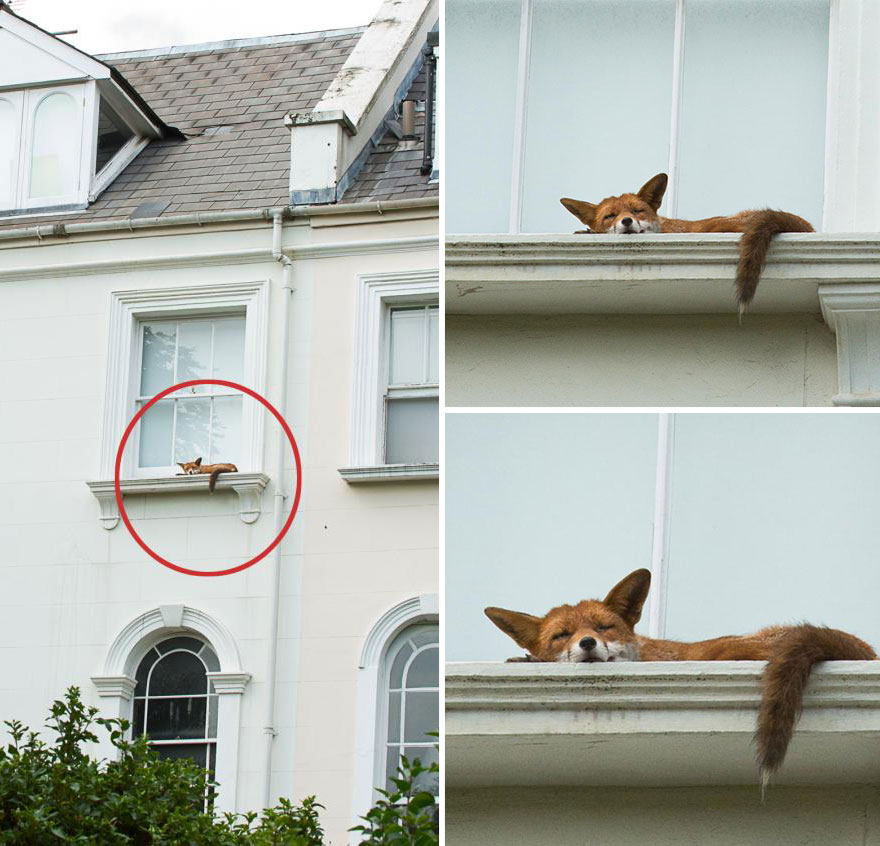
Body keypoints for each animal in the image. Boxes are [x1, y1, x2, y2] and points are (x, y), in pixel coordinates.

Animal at [485, 568, 876, 789]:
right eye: (562, 635)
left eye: (602, 627)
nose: (587, 643)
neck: (646, 654)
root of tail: (863, 648)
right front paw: (526, 659)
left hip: (726, 650)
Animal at [560, 173, 814, 314]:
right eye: (610, 216)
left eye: (637, 210)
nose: (627, 221)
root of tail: (805, 224)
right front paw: (585, 231)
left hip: (716, 225)